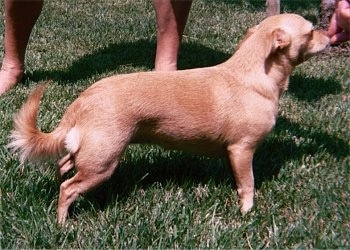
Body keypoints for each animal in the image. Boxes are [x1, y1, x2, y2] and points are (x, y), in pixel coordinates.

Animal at [8, 13, 330, 224]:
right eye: (311, 31)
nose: (330, 35)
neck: (252, 71)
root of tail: (83, 100)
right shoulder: (242, 150)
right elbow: (247, 183)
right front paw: (247, 211)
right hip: (102, 163)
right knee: (68, 189)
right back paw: (63, 223)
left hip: (88, 151)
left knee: (64, 164)